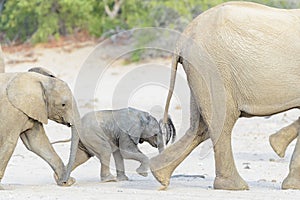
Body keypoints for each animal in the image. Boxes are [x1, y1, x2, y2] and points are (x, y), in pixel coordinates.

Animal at [150, 1, 300, 191]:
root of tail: (183, 38)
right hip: (213, 68)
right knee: (222, 120)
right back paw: (235, 187)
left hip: (201, 71)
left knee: (199, 127)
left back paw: (159, 176)